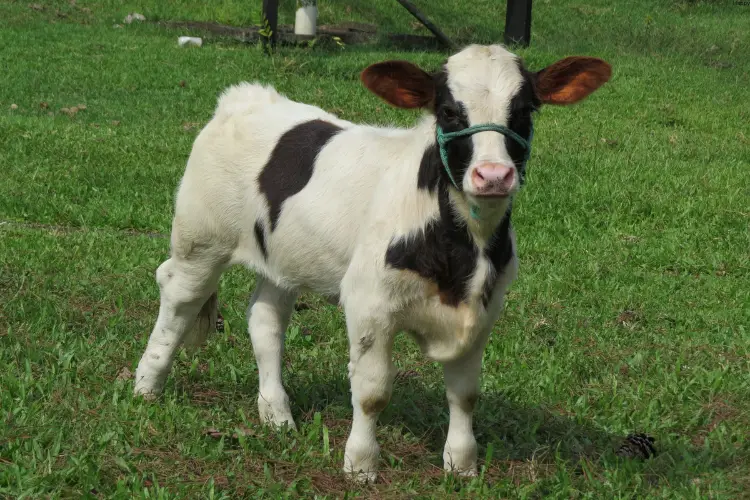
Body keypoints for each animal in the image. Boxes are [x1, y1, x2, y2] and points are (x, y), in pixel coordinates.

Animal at [134, 45, 612, 482]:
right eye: (447, 111)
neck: (463, 253)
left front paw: (461, 464)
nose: (493, 175)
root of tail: (245, 97)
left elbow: (465, 393)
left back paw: (277, 415)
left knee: (266, 320)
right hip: (201, 238)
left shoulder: (485, 310)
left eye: (526, 108)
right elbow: (372, 392)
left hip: (283, 257)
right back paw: (146, 385)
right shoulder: (370, 303)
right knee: (178, 297)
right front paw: (361, 464)